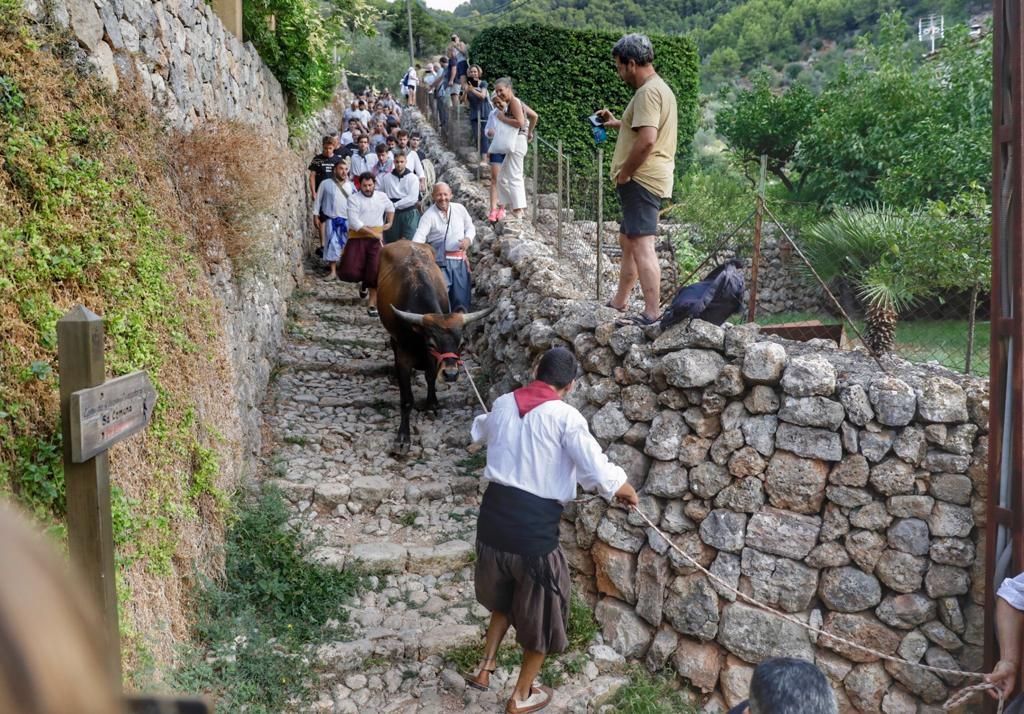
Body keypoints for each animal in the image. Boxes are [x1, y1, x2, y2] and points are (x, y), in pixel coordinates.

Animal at [376, 239, 491, 450]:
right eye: (431, 344)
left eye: (462, 344)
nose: (451, 374)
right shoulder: (404, 358)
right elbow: (406, 400)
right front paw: (403, 437)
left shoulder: (433, 362)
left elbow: (430, 377)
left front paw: (432, 403)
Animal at [460, 364, 1003, 708]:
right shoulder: (572, 427)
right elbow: (592, 458)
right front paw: (625, 491)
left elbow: (490, 425)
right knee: (532, 626)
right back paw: (522, 696)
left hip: (503, 561)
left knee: (500, 610)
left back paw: (485, 674)